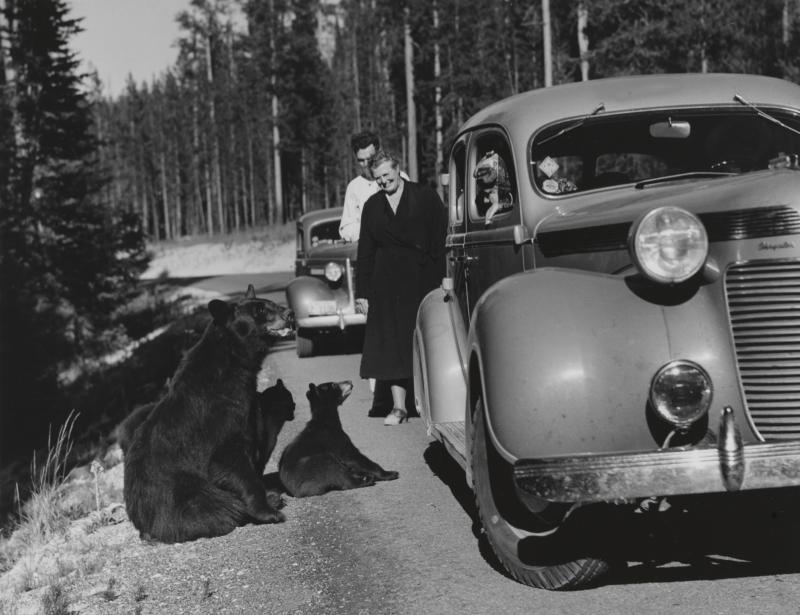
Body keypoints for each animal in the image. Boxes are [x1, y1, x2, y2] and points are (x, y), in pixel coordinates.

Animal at [122, 286, 290, 544]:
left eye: (269, 303)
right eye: (260, 310)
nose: (289, 313)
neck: (233, 362)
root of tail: (143, 526)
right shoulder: (219, 417)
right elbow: (230, 460)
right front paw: (268, 512)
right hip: (184, 493)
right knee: (217, 508)